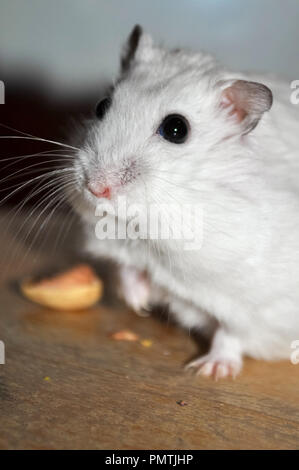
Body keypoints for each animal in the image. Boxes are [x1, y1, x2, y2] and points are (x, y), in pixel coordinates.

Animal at [71, 24, 299, 378]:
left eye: (176, 129)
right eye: (101, 106)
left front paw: (207, 370)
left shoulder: (255, 305)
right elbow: (127, 268)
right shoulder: (128, 249)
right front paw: (138, 303)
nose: (96, 188)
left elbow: (231, 334)